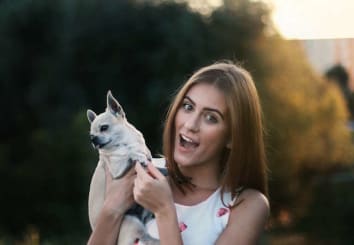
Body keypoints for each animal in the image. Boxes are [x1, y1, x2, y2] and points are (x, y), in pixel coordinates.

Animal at [87, 91, 160, 244]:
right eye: (91, 135)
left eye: (104, 128)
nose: (93, 139)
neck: (124, 143)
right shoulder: (116, 170)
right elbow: (129, 154)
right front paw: (137, 156)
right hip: (130, 220)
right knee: (143, 236)